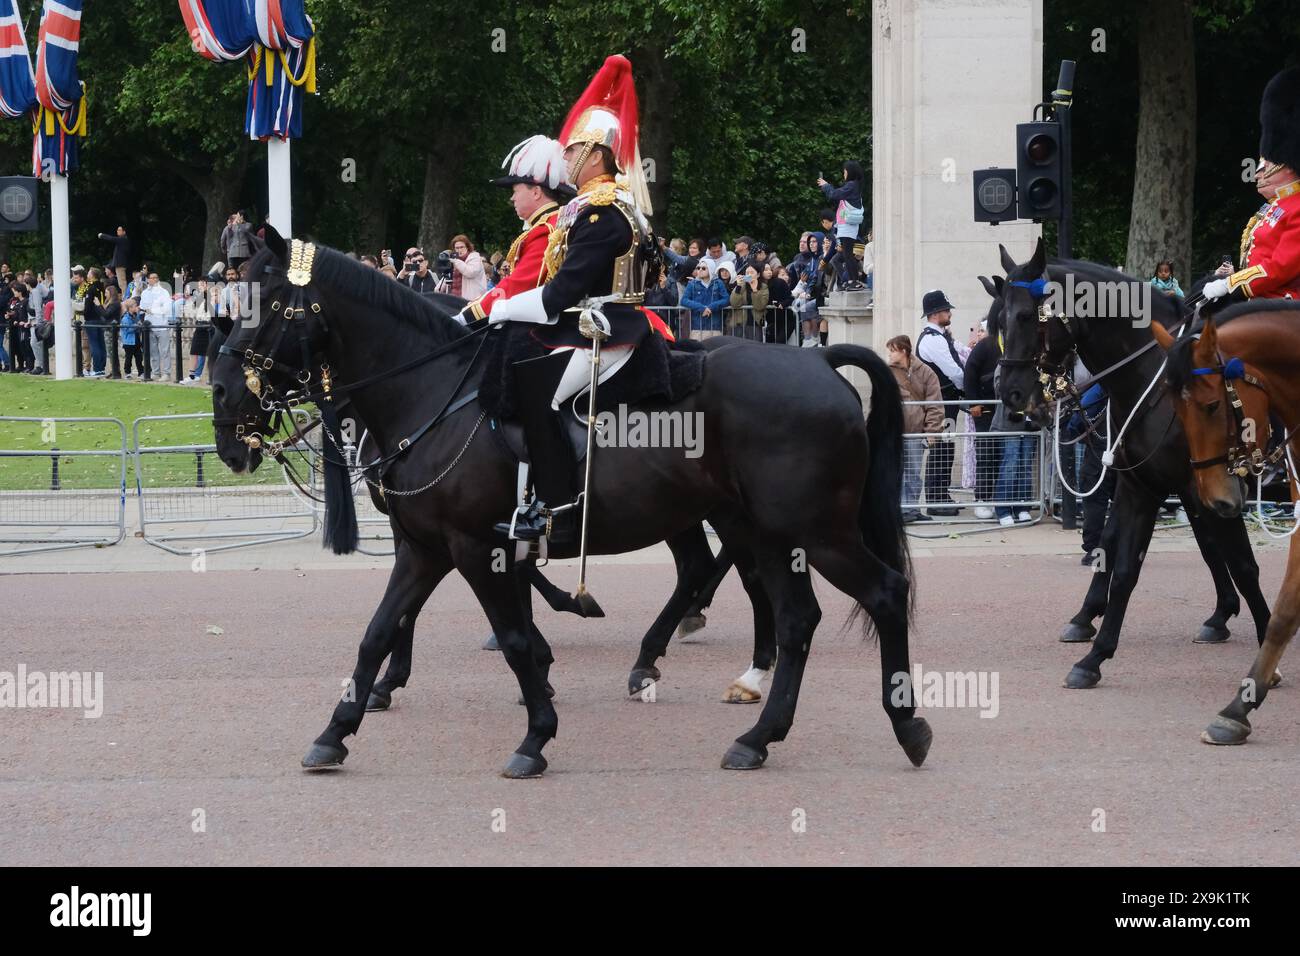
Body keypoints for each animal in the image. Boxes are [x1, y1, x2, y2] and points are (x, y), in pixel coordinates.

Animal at [208, 231, 930, 780]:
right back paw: (756, 727)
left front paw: (536, 734)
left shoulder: (477, 547)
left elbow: (514, 637)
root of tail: (818, 361)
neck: (433, 389)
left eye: (267, 303)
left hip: (813, 529)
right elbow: (378, 632)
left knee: (879, 592)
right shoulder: (424, 547)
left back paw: (904, 724)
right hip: (764, 528)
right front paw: (338, 729)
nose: (226, 415)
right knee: (788, 612)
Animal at [993, 238, 1268, 686]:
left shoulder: (1204, 485)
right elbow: (1121, 557)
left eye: (1024, 316)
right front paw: (1091, 635)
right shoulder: (1143, 482)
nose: (1011, 395)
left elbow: (1239, 560)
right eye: (998, 319)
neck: (1148, 374)